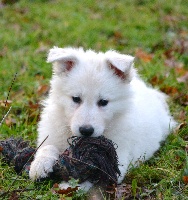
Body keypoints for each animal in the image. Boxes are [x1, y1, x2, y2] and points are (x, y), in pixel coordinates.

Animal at [29, 47, 176, 191]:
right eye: (76, 99)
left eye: (103, 102)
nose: (86, 130)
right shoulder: (52, 133)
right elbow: (47, 146)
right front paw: (39, 165)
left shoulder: (119, 158)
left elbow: (96, 173)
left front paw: (71, 186)